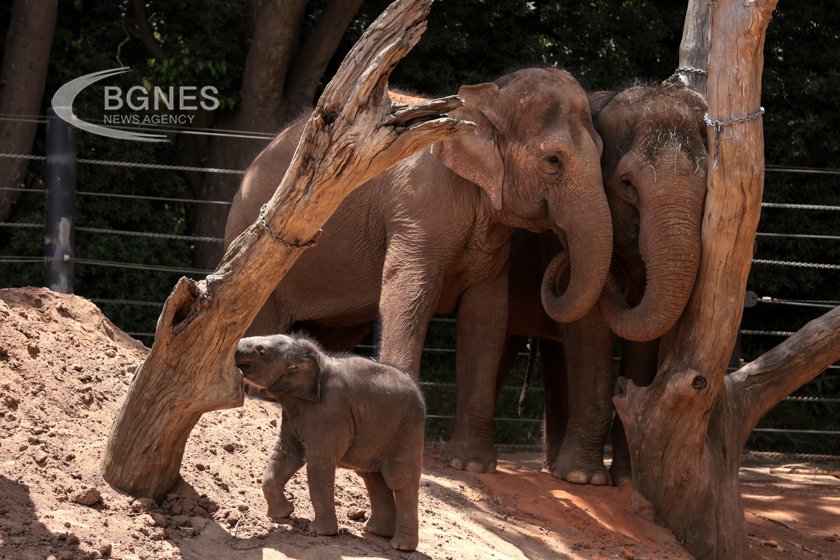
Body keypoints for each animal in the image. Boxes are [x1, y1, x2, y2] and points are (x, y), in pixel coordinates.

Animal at [226, 69, 612, 424]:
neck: (484, 96)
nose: (560, 252)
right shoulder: (416, 209)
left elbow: (486, 316)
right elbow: (408, 295)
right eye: (553, 161)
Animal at [235, 334, 426, 548]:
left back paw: (400, 546)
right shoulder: (294, 411)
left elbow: (318, 465)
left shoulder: (330, 412)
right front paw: (282, 514)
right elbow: (287, 454)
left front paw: (318, 532)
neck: (316, 357)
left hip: (408, 430)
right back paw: (375, 531)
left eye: (261, 352)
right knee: (372, 476)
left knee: (399, 479)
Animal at [450, 82, 712, 482]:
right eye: (627, 184)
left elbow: (644, 339)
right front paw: (582, 478)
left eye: (708, 188)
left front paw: (625, 479)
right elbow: (588, 331)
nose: (563, 263)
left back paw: (550, 467)